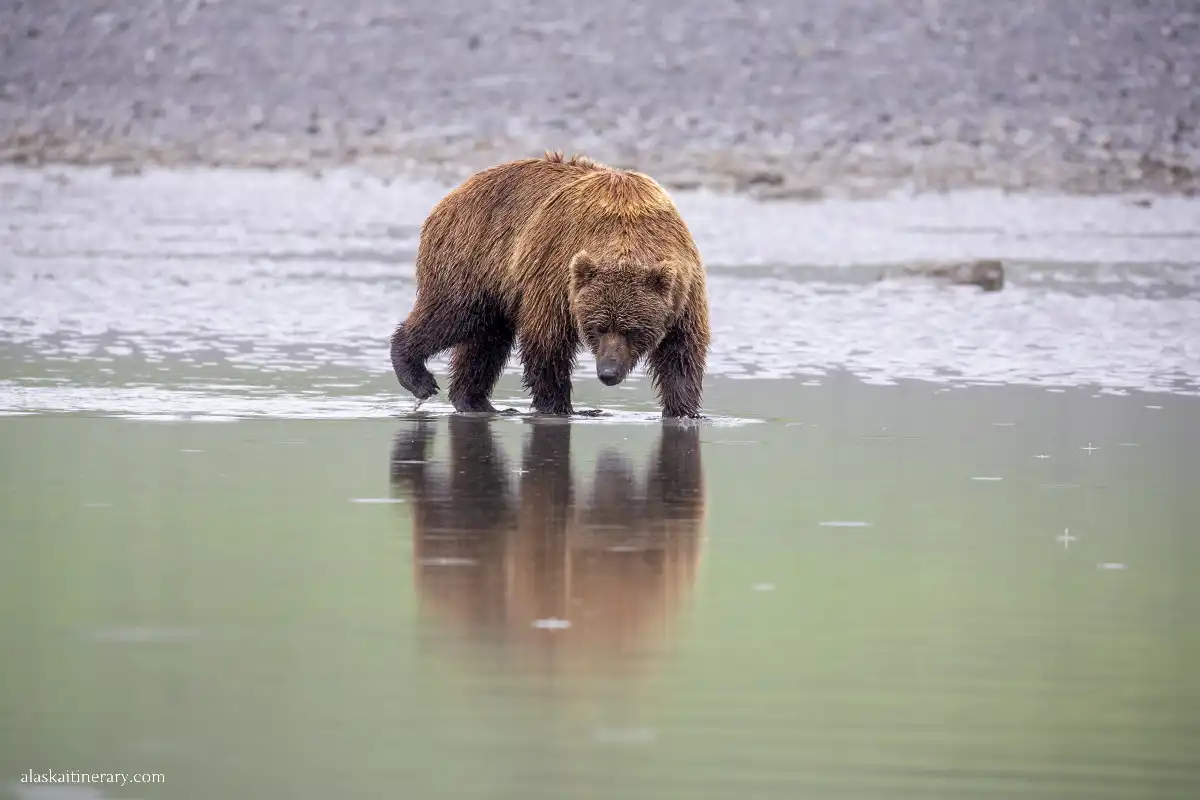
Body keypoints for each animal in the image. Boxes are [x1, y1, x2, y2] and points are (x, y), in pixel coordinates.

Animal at [389, 151, 711, 418]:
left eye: (632, 330)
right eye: (598, 328)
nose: (608, 372)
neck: (626, 228)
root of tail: (453, 194)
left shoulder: (684, 292)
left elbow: (681, 352)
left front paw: (684, 411)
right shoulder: (556, 275)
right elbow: (547, 340)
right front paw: (558, 407)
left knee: (487, 339)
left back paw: (476, 401)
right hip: (472, 256)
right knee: (452, 314)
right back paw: (418, 377)